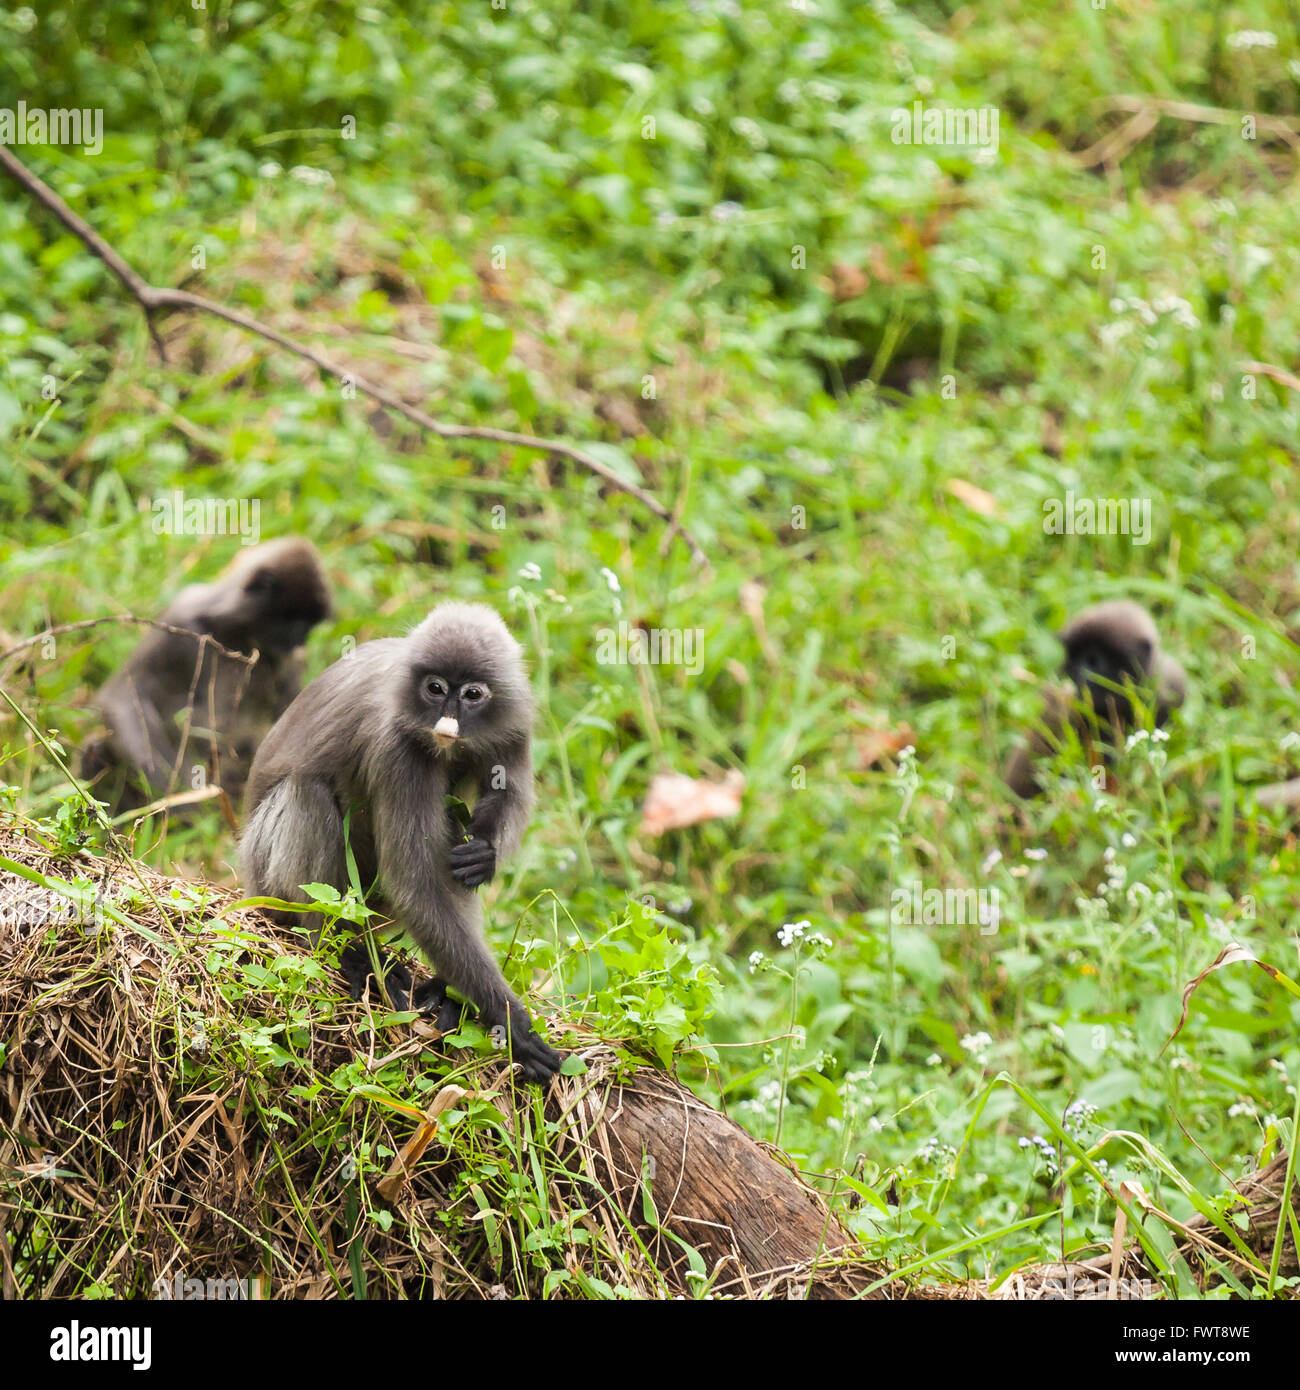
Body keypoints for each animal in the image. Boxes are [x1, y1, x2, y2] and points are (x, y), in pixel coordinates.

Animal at [83, 536, 330, 811]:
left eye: (309, 625)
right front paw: (183, 798)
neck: (238, 634)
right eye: (292, 621)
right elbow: (122, 695)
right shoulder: (180, 621)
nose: (301, 638)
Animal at [241, 603, 561, 1078]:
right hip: (268, 875)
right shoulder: (398, 746)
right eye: (435, 688)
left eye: (471, 694)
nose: (447, 718)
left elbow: (508, 798)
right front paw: (513, 1023)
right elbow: (416, 886)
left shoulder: (513, 727)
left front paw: (485, 853)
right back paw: (339, 952)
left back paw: (442, 992)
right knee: (307, 794)